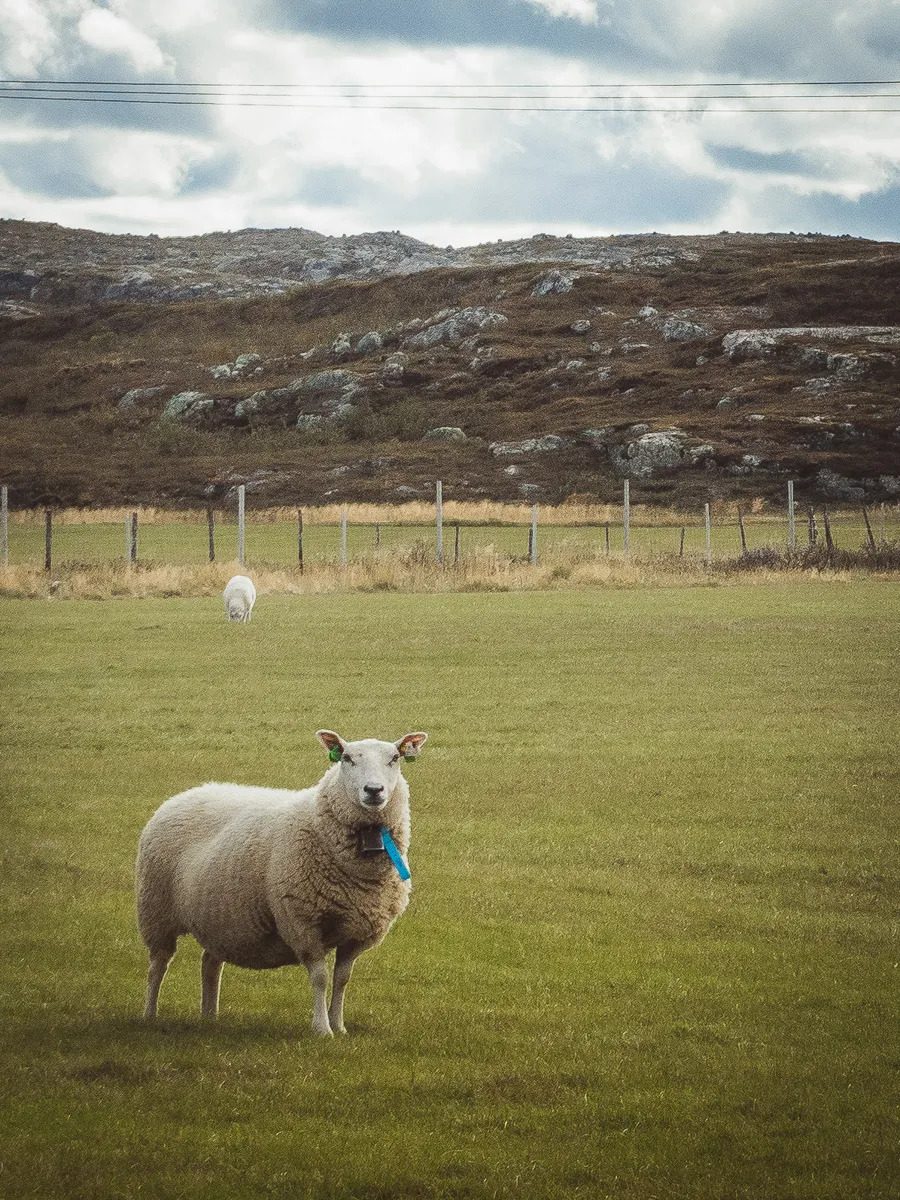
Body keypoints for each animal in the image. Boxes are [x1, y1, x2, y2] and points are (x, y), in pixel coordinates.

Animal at [136, 729, 428, 1037]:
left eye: (394, 758)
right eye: (347, 758)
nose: (373, 790)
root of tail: (187, 793)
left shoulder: (358, 932)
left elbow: (342, 979)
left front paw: (339, 1026)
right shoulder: (302, 921)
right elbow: (321, 978)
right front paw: (322, 1029)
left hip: (220, 916)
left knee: (210, 964)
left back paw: (209, 1017)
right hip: (156, 910)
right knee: (158, 965)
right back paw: (150, 1014)